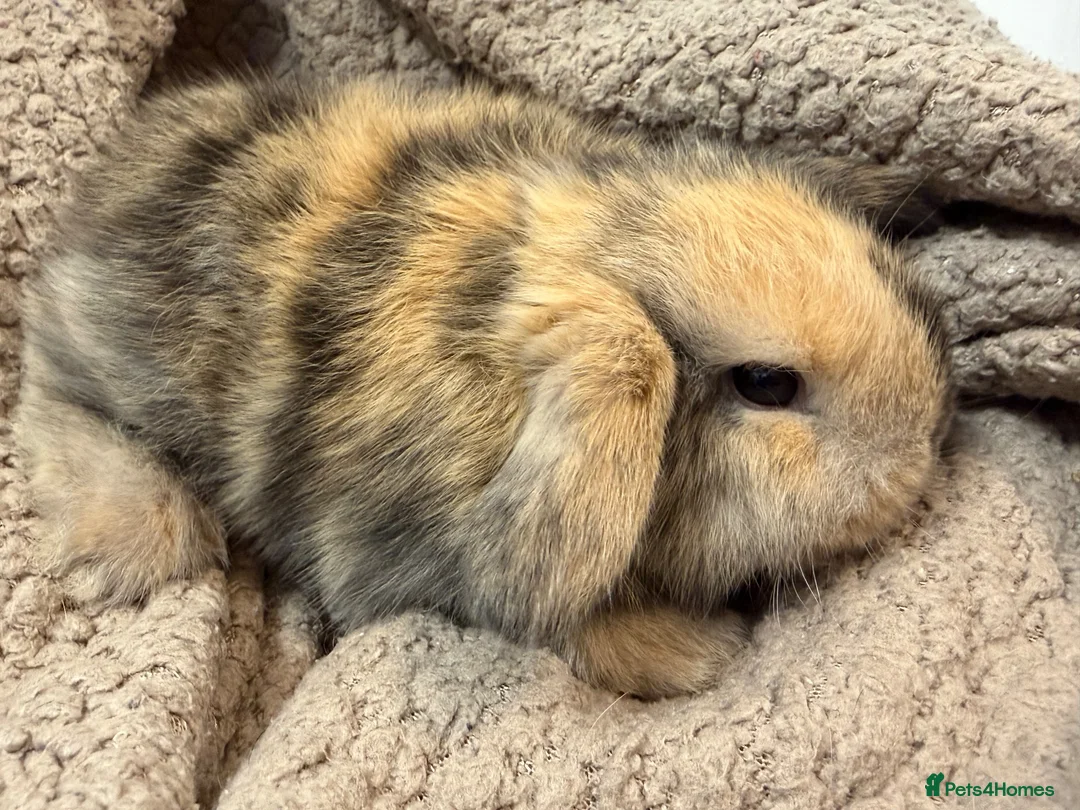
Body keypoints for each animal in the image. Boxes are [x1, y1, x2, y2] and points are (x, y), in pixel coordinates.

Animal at [18, 75, 954, 699]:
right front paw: (706, 652)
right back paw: (138, 535)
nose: (915, 466)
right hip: (100, 374)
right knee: (46, 395)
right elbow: (556, 612)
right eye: (766, 383)